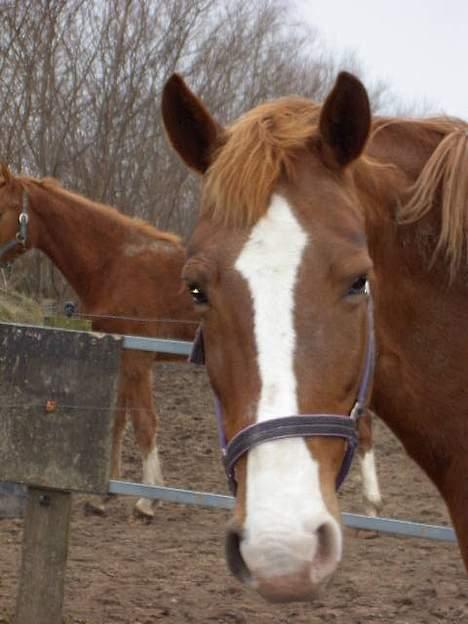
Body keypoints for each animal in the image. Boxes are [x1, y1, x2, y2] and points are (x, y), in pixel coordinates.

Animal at [0, 167, 196, 516]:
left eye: (1, 207)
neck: (115, 263)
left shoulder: (137, 359)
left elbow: (144, 423)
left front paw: (148, 500)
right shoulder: (120, 352)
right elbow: (116, 420)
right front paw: (102, 495)